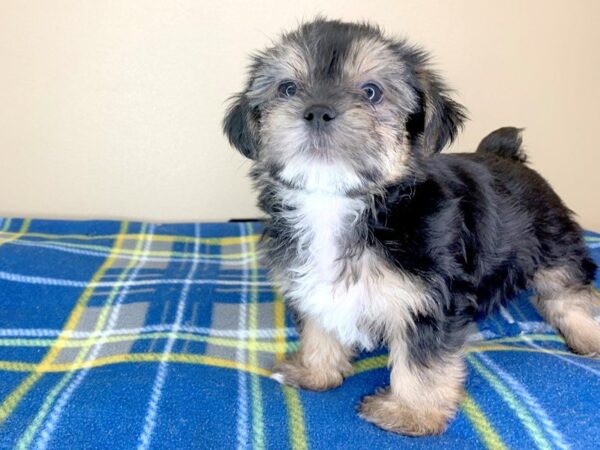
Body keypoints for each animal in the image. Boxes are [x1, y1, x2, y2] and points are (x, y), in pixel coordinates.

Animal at [221, 20, 600, 436]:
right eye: (287, 89)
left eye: (371, 92)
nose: (318, 111)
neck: (339, 202)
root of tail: (507, 155)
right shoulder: (310, 283)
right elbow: (320, 324)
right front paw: (313, 370)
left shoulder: (429, 298)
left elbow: (422, 361)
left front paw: (411, 413)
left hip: (553, 239)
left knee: (566, 291)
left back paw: (587, 335)